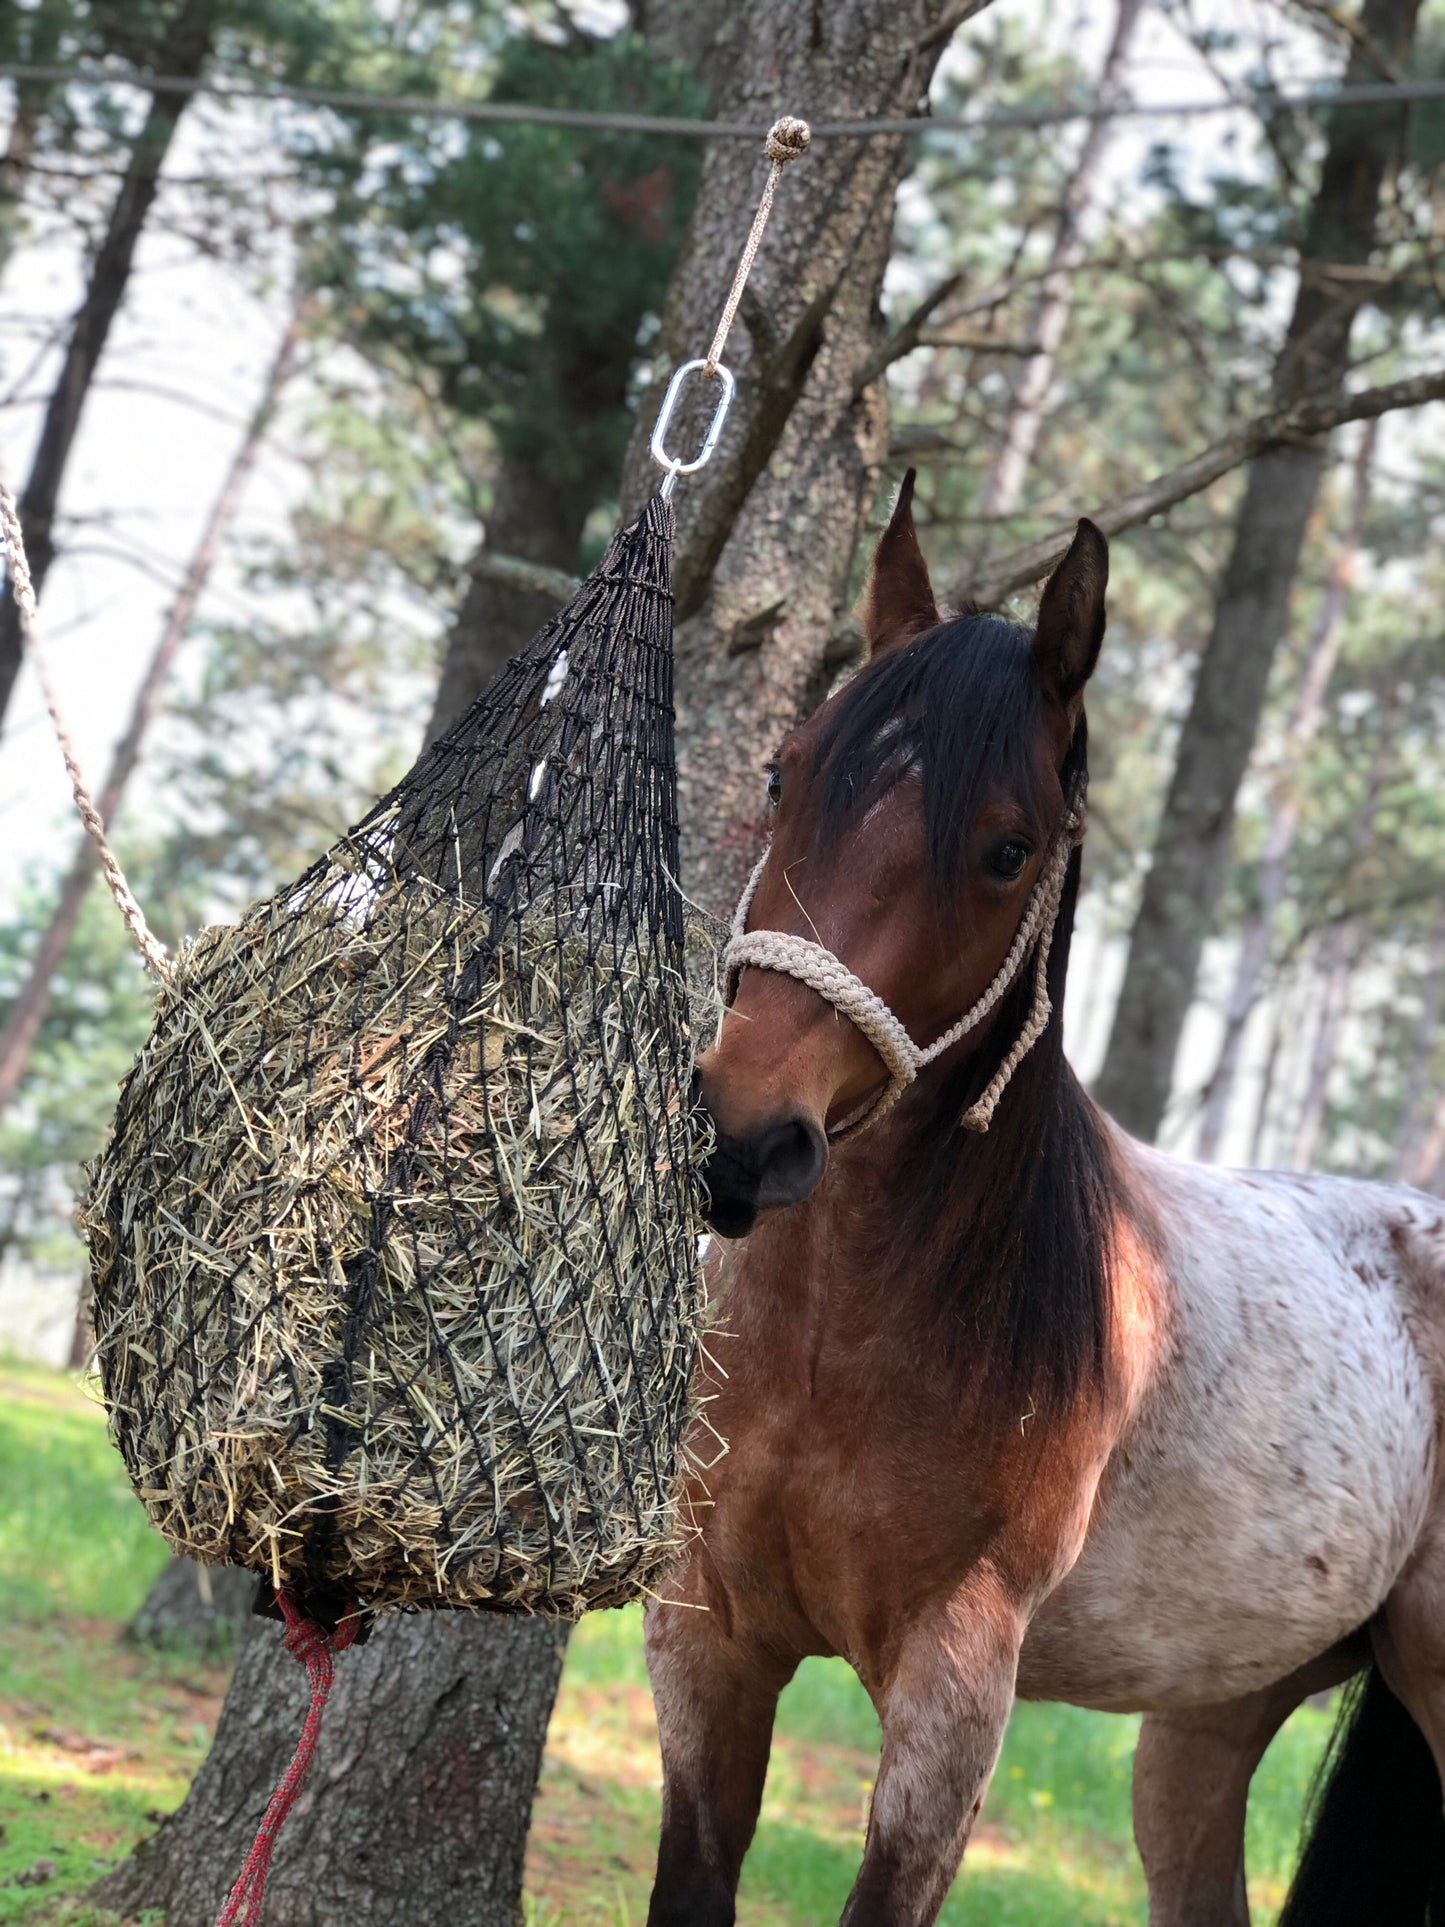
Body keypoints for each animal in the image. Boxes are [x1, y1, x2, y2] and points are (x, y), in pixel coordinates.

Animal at [651, 470, 1445, 1927]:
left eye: (1007, 849)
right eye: (786, 771)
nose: (739, 1137)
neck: (840, 1339)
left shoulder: (953, 1697)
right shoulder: (709, 1640)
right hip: (1207, 1722)